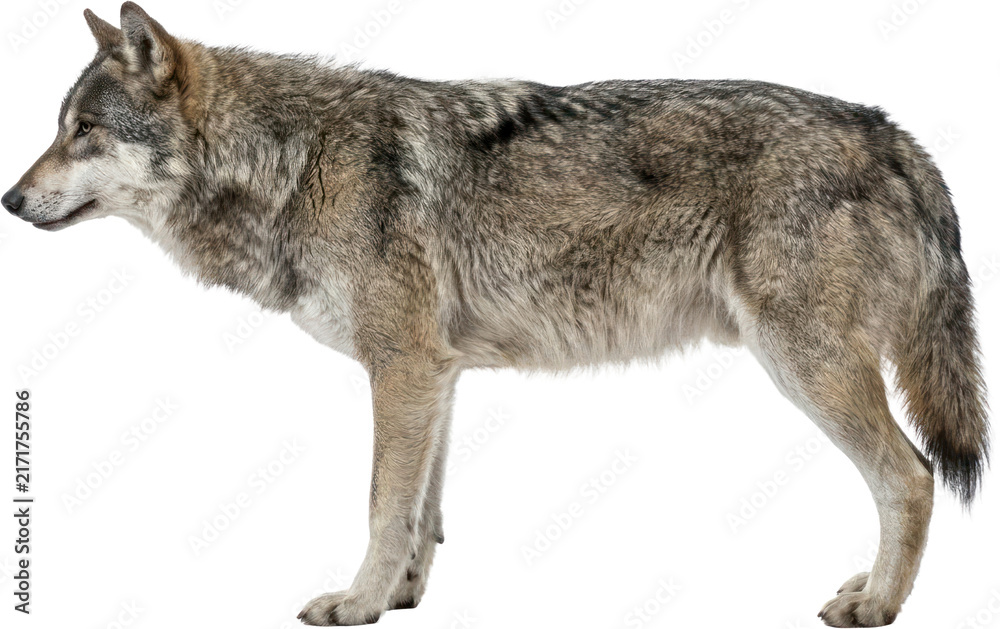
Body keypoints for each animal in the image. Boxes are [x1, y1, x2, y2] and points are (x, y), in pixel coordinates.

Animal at [2, 3, 989, 626]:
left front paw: (353, 605)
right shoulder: (436, 374)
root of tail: (889, 129)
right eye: (59, 126)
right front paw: (399, 597)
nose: (10, 199)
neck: (295, 161)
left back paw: (877, 605)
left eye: (85, 131)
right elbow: (422, 512)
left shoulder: (401, 367)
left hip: (804, 365)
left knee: (911, 476)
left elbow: (380, 502)